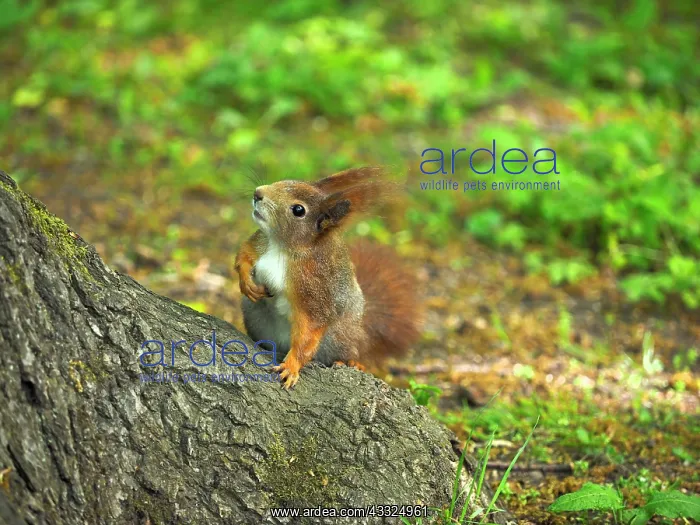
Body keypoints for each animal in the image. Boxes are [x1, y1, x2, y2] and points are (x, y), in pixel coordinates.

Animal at [234, 166, 422, 389]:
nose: (257, 193)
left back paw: (352, 362)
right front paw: (246, 282)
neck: (284, 247)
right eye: (286, 180)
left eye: (299, 210)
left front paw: (292, 366)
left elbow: (310, 329)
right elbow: (244, 254)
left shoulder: (316, 288)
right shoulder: (261, 242)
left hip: (338, 338)